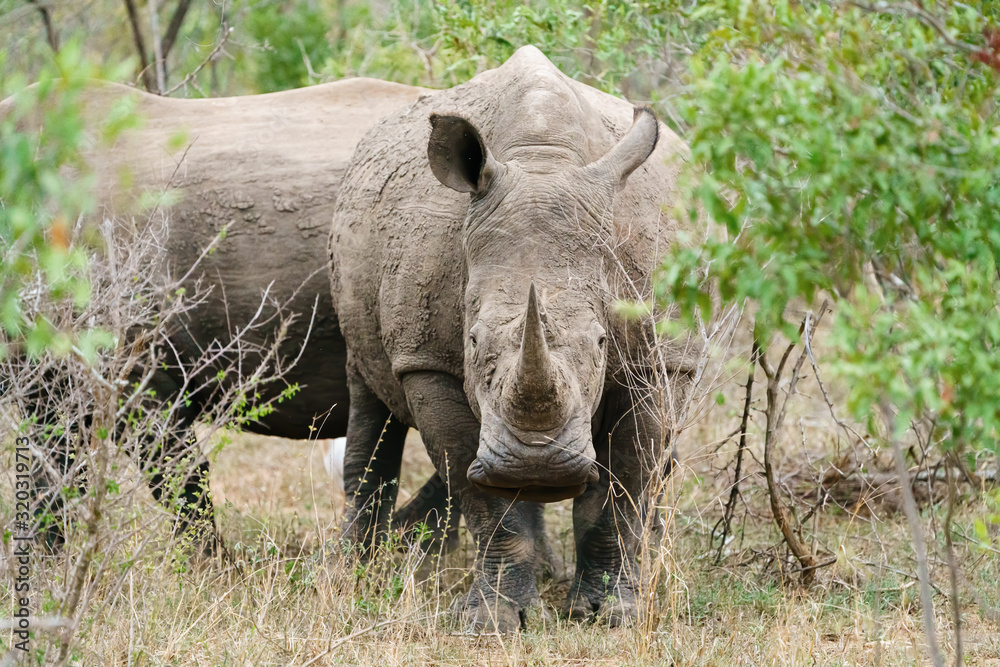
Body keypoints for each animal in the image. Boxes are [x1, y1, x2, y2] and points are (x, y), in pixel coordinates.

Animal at [1, 78, 455, 549]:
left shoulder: (129, 360)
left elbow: (178, 474)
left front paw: (205, 563)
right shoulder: (49, 369)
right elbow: (49, 474)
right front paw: (47, 563)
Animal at [330, 46, 697, 630]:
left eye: (600, 342)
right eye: (473, 341)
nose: (537, 463)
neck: (543, 163)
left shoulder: (661, 361)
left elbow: (627, 483)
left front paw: (610, 614)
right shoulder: (429, 361)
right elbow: (480, 492)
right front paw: (496, 620)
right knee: (368, 397)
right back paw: (357, 574)